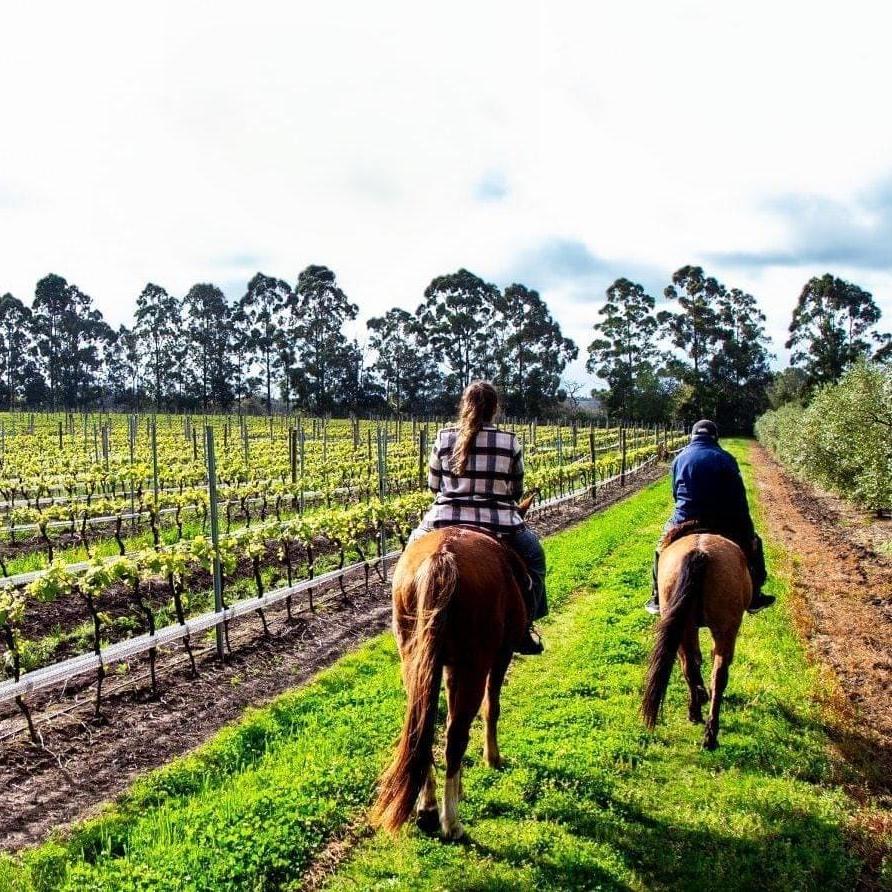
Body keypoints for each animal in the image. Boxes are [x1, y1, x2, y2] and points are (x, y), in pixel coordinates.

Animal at [372, 498, 536, 840]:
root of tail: (441, 558)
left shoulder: (447, 666)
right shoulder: (500, 655)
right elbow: (491, 708)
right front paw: (492, 758)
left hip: (416, 662)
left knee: (423, 727)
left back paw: (428, 807)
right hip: (475, 664)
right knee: (456, 734)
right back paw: (451, 822)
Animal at [640, 532, 752, 748]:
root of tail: (699, 553)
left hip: (685, 624)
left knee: (691, 667)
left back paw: (701, 718)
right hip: (724, 629)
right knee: (717, 674)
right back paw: (708, 729)